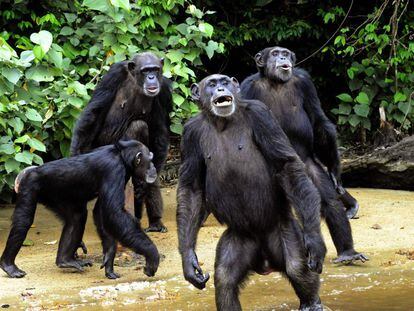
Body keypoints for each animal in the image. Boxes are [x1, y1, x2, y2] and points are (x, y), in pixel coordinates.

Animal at [0, 141, 160, 280]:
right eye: (150, 159)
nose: (153, 166)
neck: (122, 157)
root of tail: (28, 171)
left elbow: (101, 212)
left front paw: (109, 260)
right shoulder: (114, 170)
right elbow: (114, 213)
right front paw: (152, 256)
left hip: (57, 197)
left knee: (76, 217)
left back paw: (65, 260)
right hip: (30, 185)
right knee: (24, 221)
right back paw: (9, 266)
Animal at [70, 51, 171, 234]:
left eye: (155, 69)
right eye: (145, 71)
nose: (152, 77)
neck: (136, 81)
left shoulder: (164, 91)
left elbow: (159, 133)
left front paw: (146, 185)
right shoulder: (113, 76)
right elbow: (94, 112)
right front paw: (75, 156)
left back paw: (154, 222)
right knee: (138, 126)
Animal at [177, 74, 326, 310]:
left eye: (225, 82)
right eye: (212, 84)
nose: (221, 89)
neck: (221, 122)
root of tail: (264, 262)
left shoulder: (262, 115)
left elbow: (286, 165)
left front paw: (314, 241)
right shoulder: (189, 134)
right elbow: (191, 189)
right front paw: (189, 261)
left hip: (283, 229)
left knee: (297, 267)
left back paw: (312, 302)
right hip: (240, 238)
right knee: (225, 278)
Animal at [241, 47, 368, 266]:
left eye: (284, 52)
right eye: (274, 53)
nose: (282, 57)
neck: (276, 82)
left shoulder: (305, 83)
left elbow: (318, 122)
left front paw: (335, 170)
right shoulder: (247, 89)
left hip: (307, 167)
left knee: (329, 201)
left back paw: (347, 252)